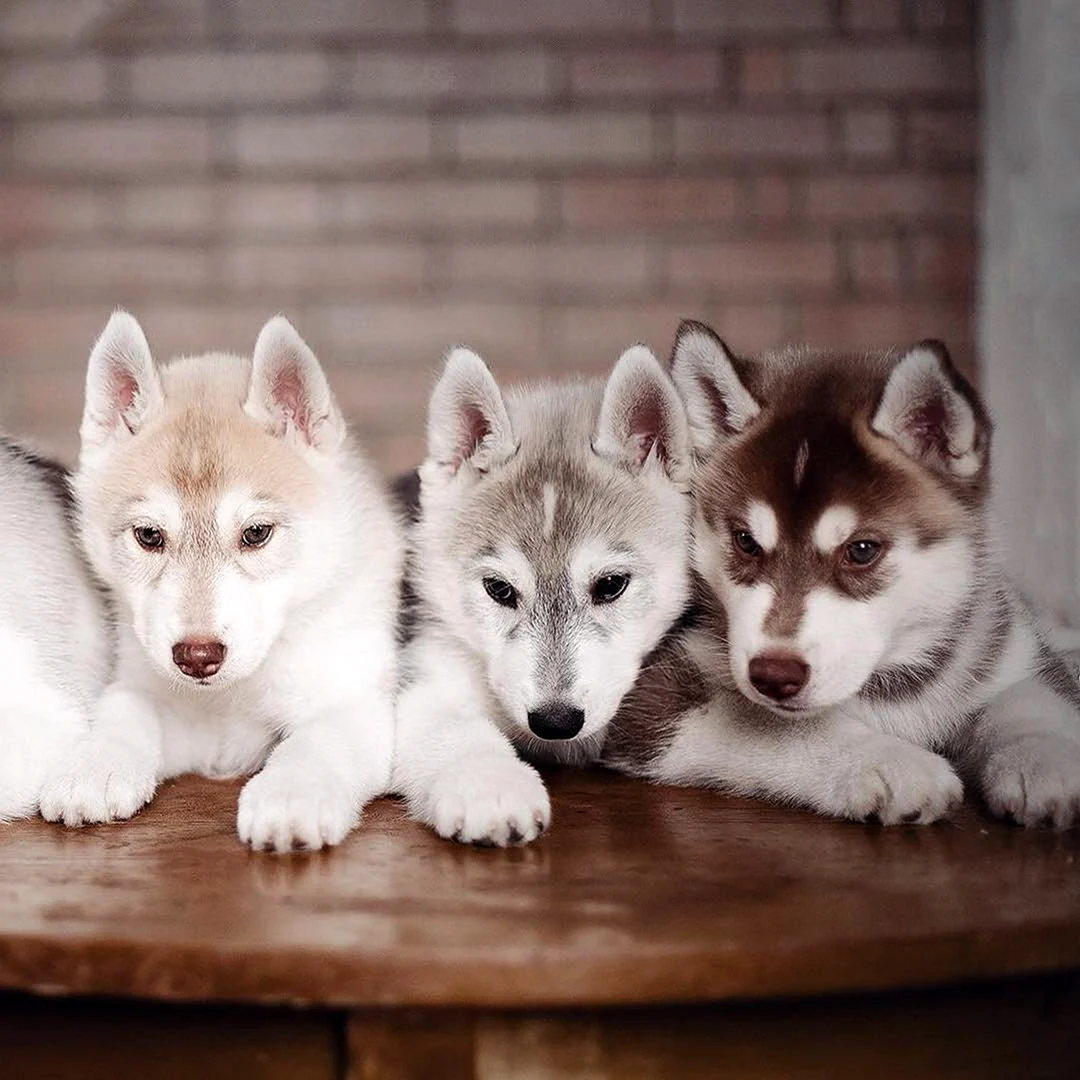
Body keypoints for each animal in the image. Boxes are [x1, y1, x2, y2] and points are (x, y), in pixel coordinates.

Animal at [39, 308, 406, 846]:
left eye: (255, 533)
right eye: (148, 535)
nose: (197, 657)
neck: (229, 697)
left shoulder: (355, 704)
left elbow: (313, 743)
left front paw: (289, 796)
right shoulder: (157, 694)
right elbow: (125, 708)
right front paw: (94, 764)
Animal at [393, 343, 695, 842]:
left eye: (611, 585)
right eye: (498, 589)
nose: (556, 721)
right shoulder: (432, 670)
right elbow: (453, 729)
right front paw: (491, 785)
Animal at [609, 319, 1080, 825]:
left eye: (861, 550)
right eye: (746, 542)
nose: (772, 675)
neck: (890, 687)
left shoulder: (1008, 650)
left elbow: (1031, 700)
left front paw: (1045, 758)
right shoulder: (655, 691)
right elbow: (773, 725)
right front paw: (892, 763)